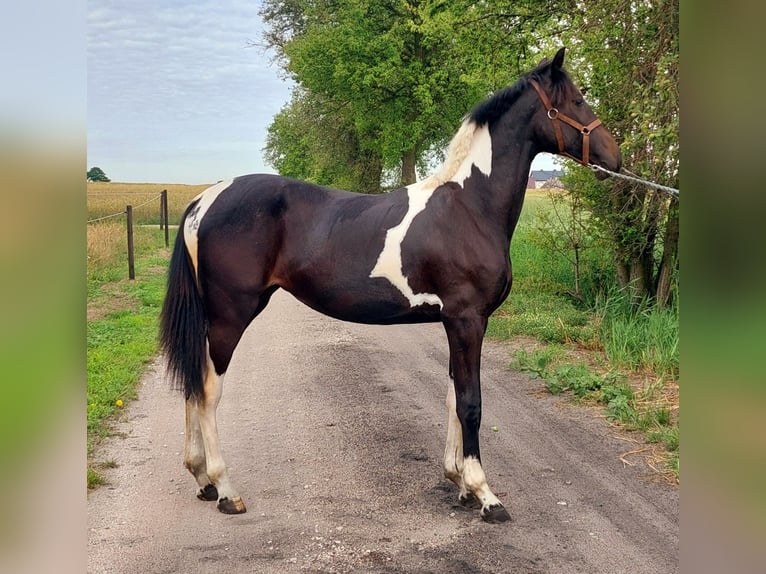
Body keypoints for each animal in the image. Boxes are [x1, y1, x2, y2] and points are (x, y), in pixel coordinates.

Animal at [160, 48, 624, 528]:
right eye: (576, 100)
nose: (615, 156)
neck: (469, 207)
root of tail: (204, 200)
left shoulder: (456, 322)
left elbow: (453, 396)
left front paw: (458, 483)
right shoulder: (468, 319)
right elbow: (471, 402)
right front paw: (485, 494)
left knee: (193, 383)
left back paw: (202, 480)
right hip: (230, 316)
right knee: (208, 391)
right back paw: (226, 490)